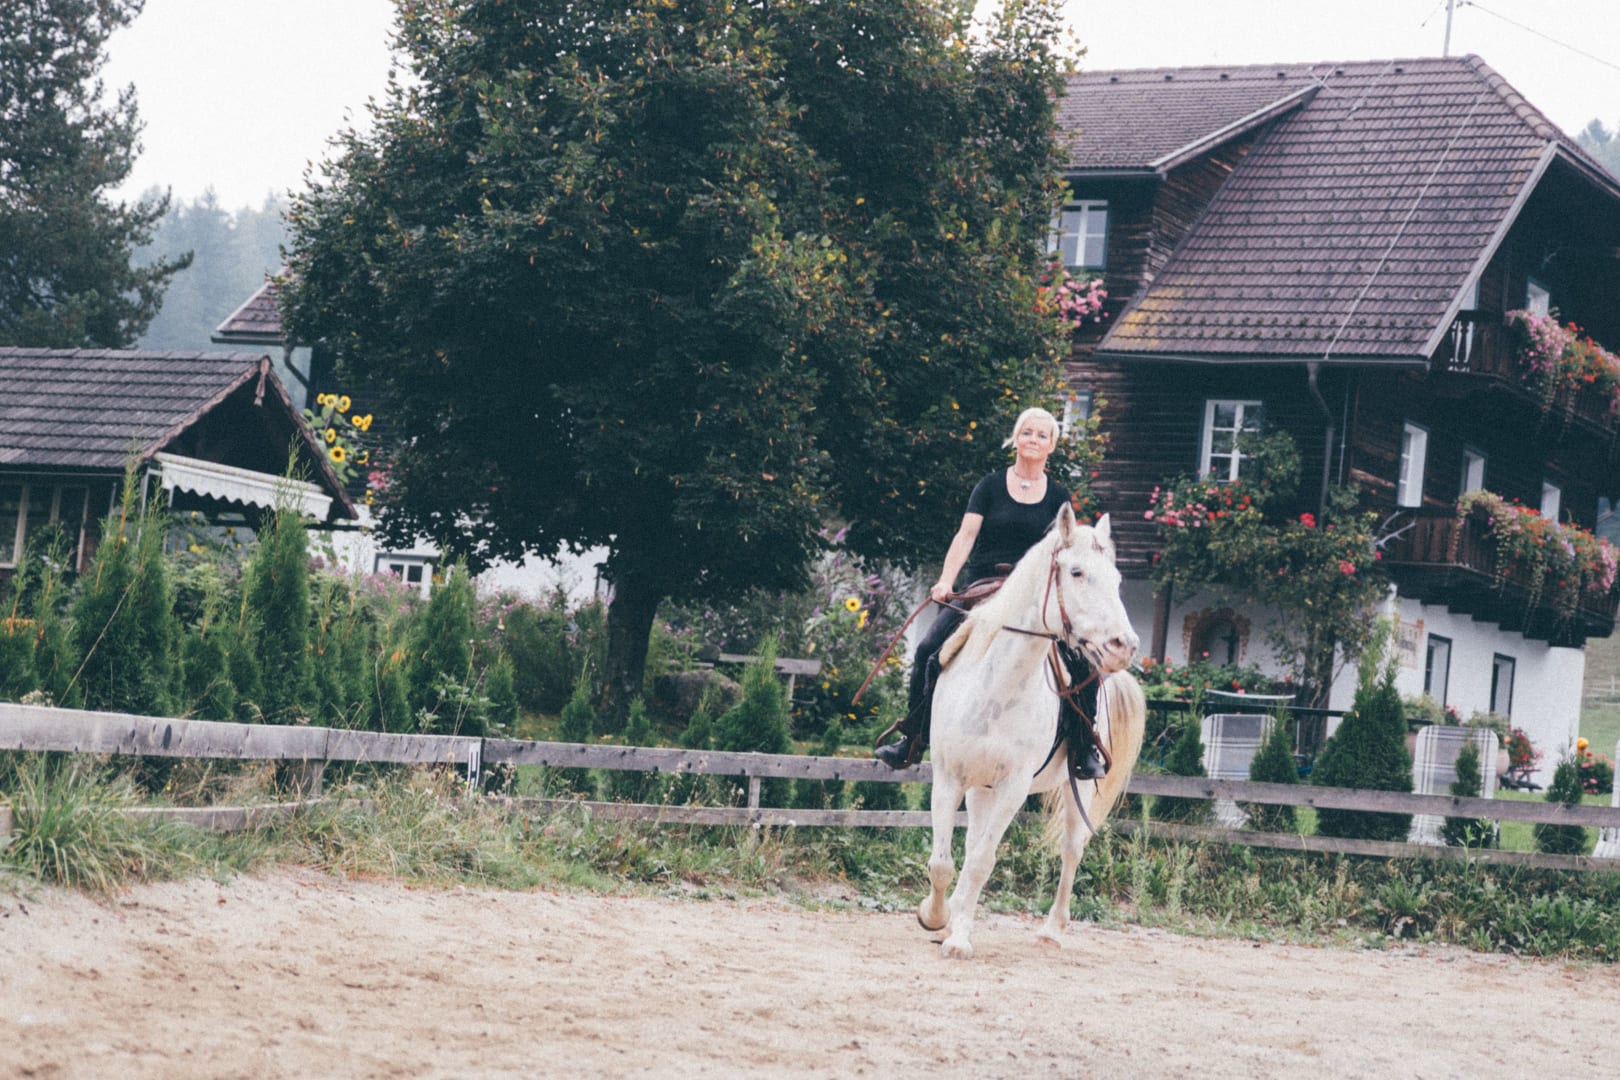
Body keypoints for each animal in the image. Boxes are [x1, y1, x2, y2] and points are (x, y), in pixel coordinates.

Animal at [918, 505, 1144, 960]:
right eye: (1076, 572)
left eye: (1117, 580)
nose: (1123, 646)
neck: (996, 686)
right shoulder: (949, 779)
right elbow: (943, 862)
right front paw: (936, 917)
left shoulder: (1012, 789)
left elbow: (981, 862)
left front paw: (958, 938)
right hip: (979, 788)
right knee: (969, 847)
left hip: (1080, 788)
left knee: (1071, 849)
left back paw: (1052, 930)